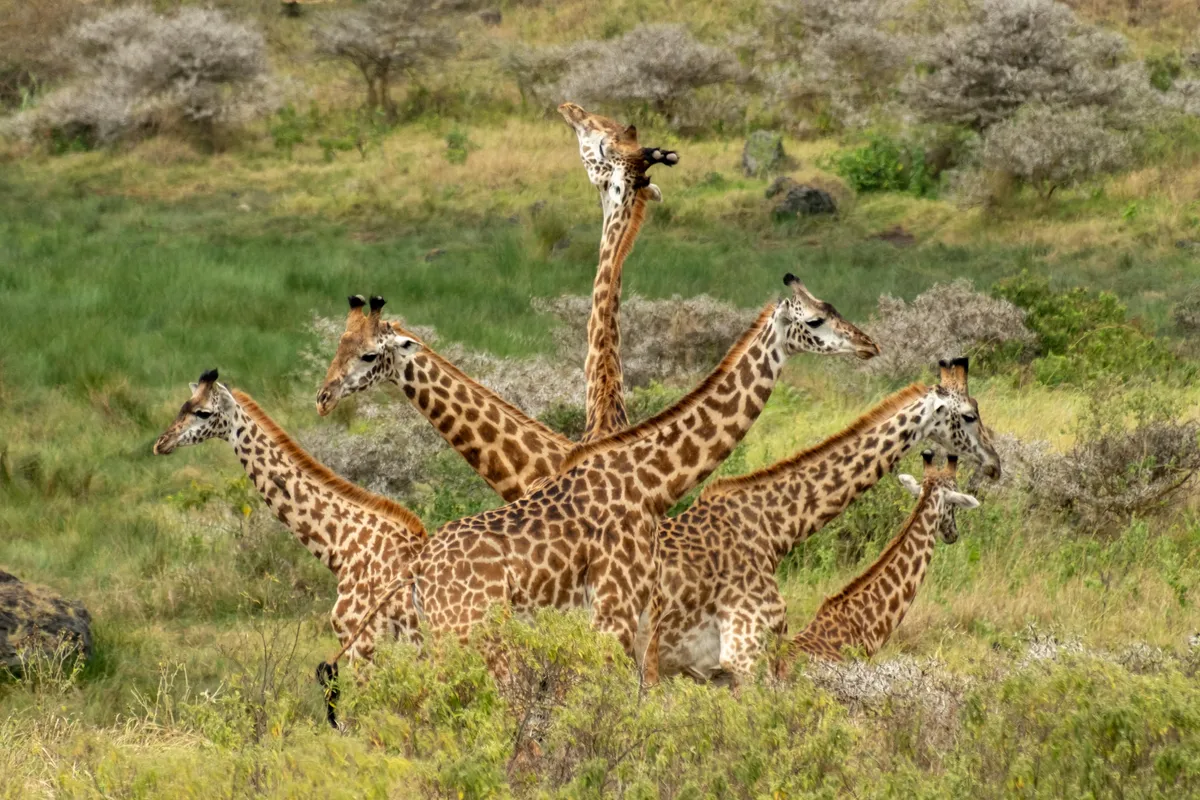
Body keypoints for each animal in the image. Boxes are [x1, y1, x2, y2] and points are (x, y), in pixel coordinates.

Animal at [398, 277, 879, 663]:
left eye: (834, 307)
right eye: (815, 321)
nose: (868, 344)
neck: (648, 481)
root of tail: (419, 572)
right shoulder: (617, 609)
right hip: (466, 629)